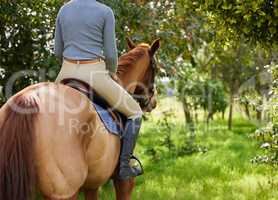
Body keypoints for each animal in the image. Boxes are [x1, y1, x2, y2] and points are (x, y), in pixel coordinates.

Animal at [0, 38, 161, 200]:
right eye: (155, 68)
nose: (153, 102)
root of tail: (28, 97)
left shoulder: (92, 184)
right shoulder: (124, 182)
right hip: (66, 192)